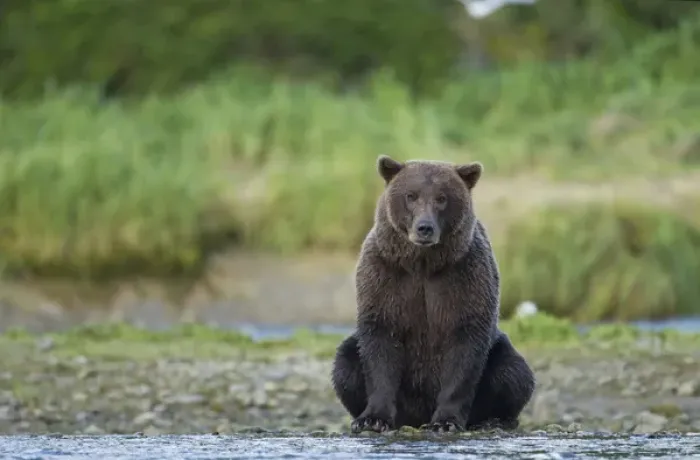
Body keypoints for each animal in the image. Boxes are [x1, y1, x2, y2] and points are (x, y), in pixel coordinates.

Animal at [331, 154, 535, 433]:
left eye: (442, 197)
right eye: (411, 195)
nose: (424, 227)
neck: (423, 264)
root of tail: (416, 417)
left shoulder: (465, 277)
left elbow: (465, 344)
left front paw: (445, 421)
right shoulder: (385, 276)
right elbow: (380, 342)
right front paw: (372, 419)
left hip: (500, 352)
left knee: (513, 372)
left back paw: (495, 419)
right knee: (345, 364)